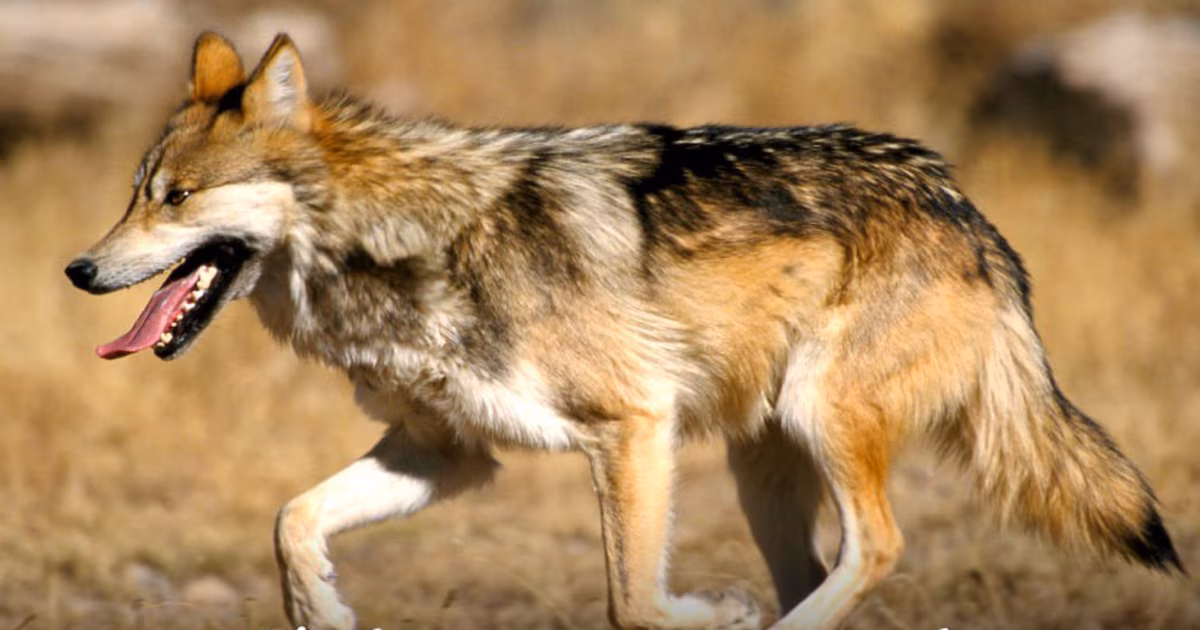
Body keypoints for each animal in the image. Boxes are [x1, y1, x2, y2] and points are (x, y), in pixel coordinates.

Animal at [65, 32, 1181, 630]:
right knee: (830, 567)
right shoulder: (447, 454)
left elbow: (634, 602)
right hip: (760, 463)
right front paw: (323, 611)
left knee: (879, 548)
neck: (406, 241)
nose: (78, 270)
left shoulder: (632, 429)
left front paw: (713, 615)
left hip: (817, 420)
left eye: (175, 198)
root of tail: (966, 207)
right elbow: (290, 520)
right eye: (133, 194)